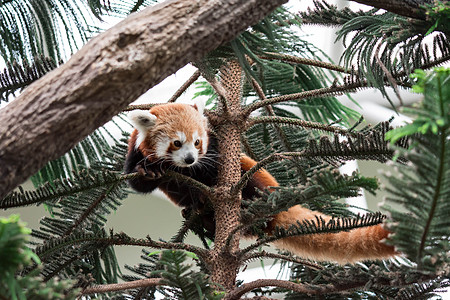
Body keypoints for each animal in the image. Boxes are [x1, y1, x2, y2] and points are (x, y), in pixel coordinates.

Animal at [125, 102, 396, 264]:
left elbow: (212, 167)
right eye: (177, 143)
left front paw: (191, 172)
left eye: (198, 142)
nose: (190, 158)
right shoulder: (135, 152)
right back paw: (199, 215)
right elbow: (139, 183)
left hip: (255, 178)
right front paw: (150, 170)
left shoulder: (216, 150)